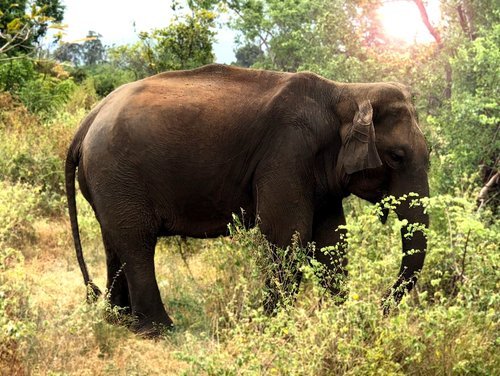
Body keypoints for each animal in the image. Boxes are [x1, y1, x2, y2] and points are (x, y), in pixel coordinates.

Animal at [65, 63, 430, 336]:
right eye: (396, 157)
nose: (380, 308)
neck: (348, 92)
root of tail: (89, 119)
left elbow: (331, 242)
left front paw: (341, 321)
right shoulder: (288, 152)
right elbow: (287, 236)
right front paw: (272, 330)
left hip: (109, 181)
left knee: (114, 240)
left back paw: (117, 321)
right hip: (117, 172)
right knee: (137, 241)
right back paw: (159, 330)